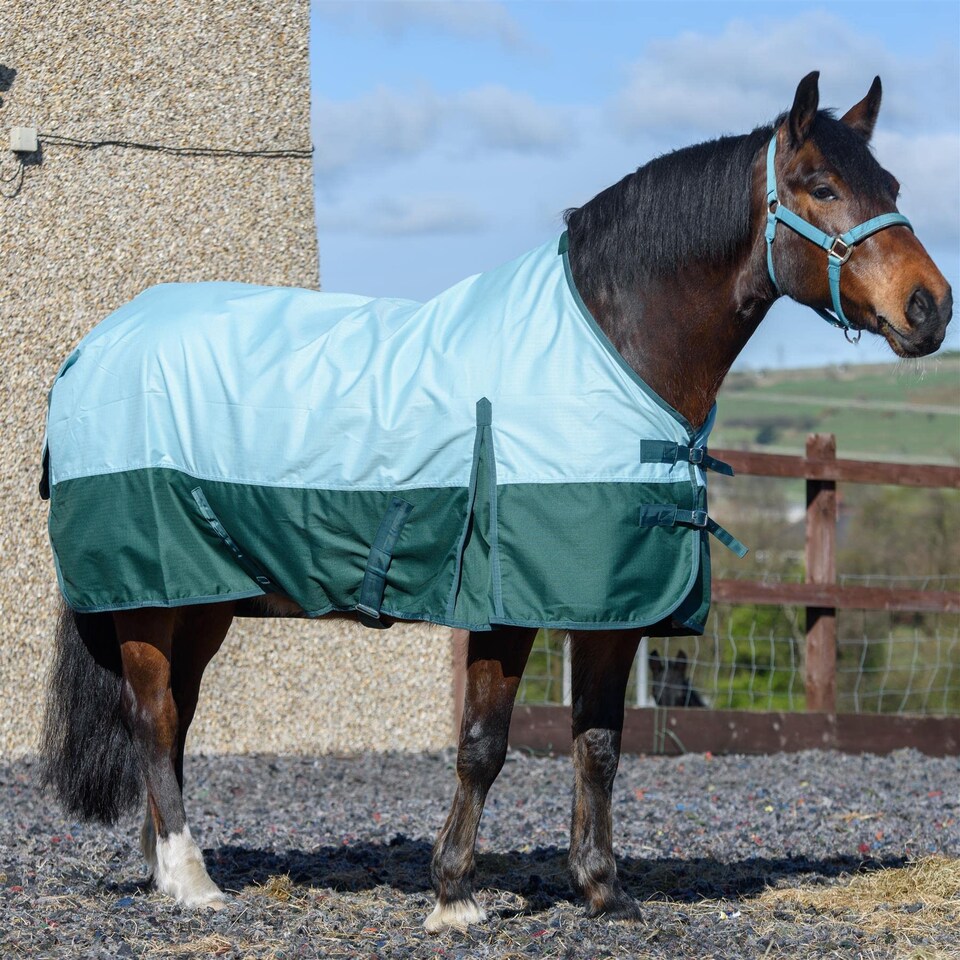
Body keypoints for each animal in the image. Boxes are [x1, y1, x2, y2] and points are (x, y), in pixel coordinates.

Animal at [39, 72, 952, 930]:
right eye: (821, 186)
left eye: (892, 184)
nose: (930, 307)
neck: (610, 351)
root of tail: (97, 345)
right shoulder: (504, 603)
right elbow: (482, 745)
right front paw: (454, 894)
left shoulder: (610, 606)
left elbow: (598, 746)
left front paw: (603, 890)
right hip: (152, 597)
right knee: (154, 719)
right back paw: (193, 883)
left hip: (201, 599)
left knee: (177, 716)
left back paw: (165, 870)